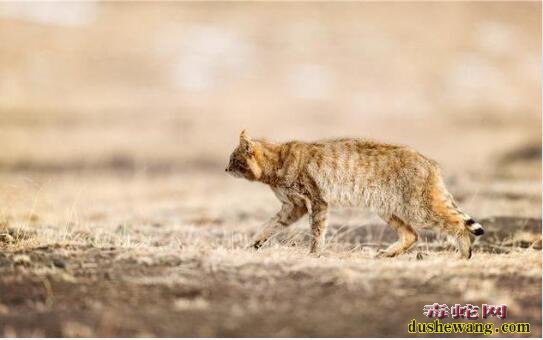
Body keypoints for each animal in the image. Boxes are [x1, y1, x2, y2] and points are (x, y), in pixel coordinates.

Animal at [225, 130, 484, 258]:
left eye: (233, 160)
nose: (225, 169)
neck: (276, 163)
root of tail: (430, 163)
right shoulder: (293, 207)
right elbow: (269, 225)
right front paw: (253, 245)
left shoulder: (317, 201)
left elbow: (316, 231)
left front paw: (314, 254)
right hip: (386, 209)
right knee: (411, 235)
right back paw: (388, 254)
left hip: (418, 209)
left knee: (456, 224)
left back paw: (464, 254)